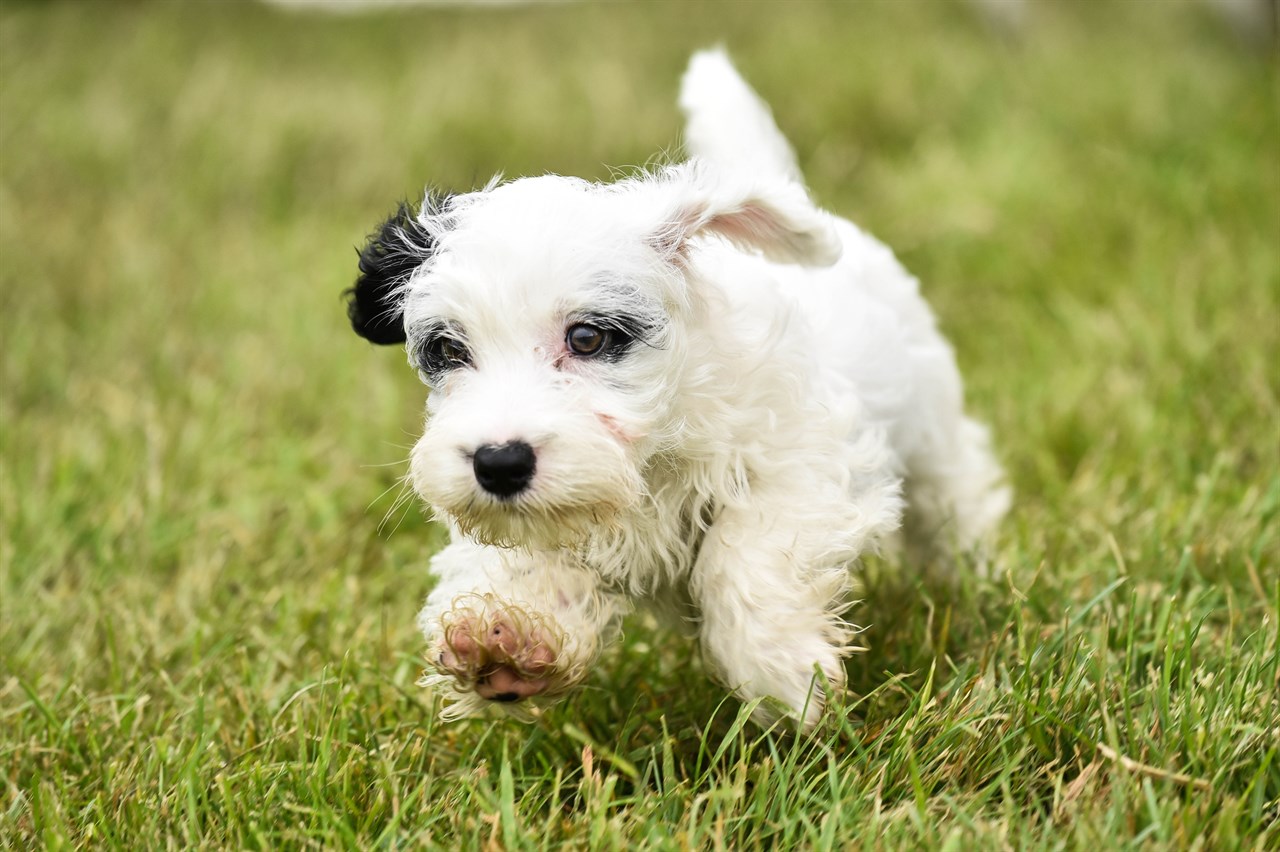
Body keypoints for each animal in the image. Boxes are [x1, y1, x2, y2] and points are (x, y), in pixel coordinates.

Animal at [348, 49, 1008, 726]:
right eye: (449, 351)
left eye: (586, 338)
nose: (499, 463)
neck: (654, 447)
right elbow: (530, 558)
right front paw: (507, 637)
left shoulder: (802, 461)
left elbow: (744, 552)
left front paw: (780, 671)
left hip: (932, 431)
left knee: (954, 497)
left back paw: (971, 582)